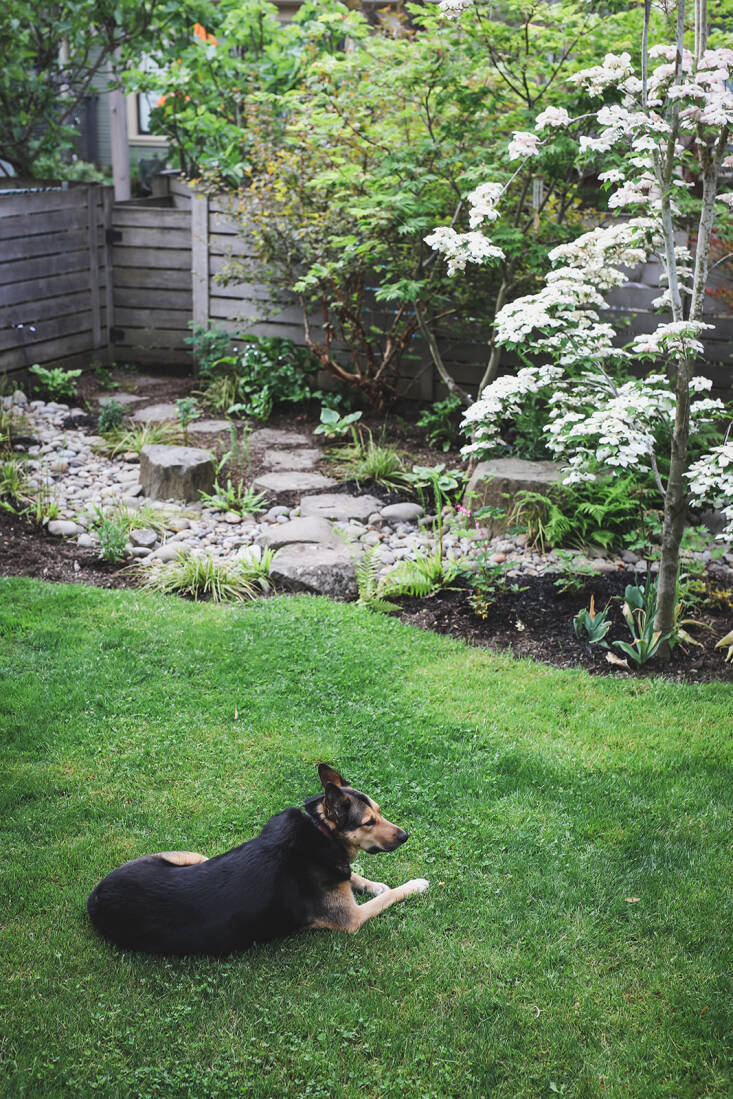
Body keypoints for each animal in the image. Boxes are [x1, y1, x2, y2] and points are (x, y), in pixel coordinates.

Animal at [86, 764, 430, 953]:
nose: (405, 836)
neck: (319, 830)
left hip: (194, 857)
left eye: (380, 811)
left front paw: (374, 883)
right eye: (368, 822)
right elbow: (389, 895)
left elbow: (353, 874)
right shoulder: (352, 919)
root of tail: (95, 898)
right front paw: (415, 884)